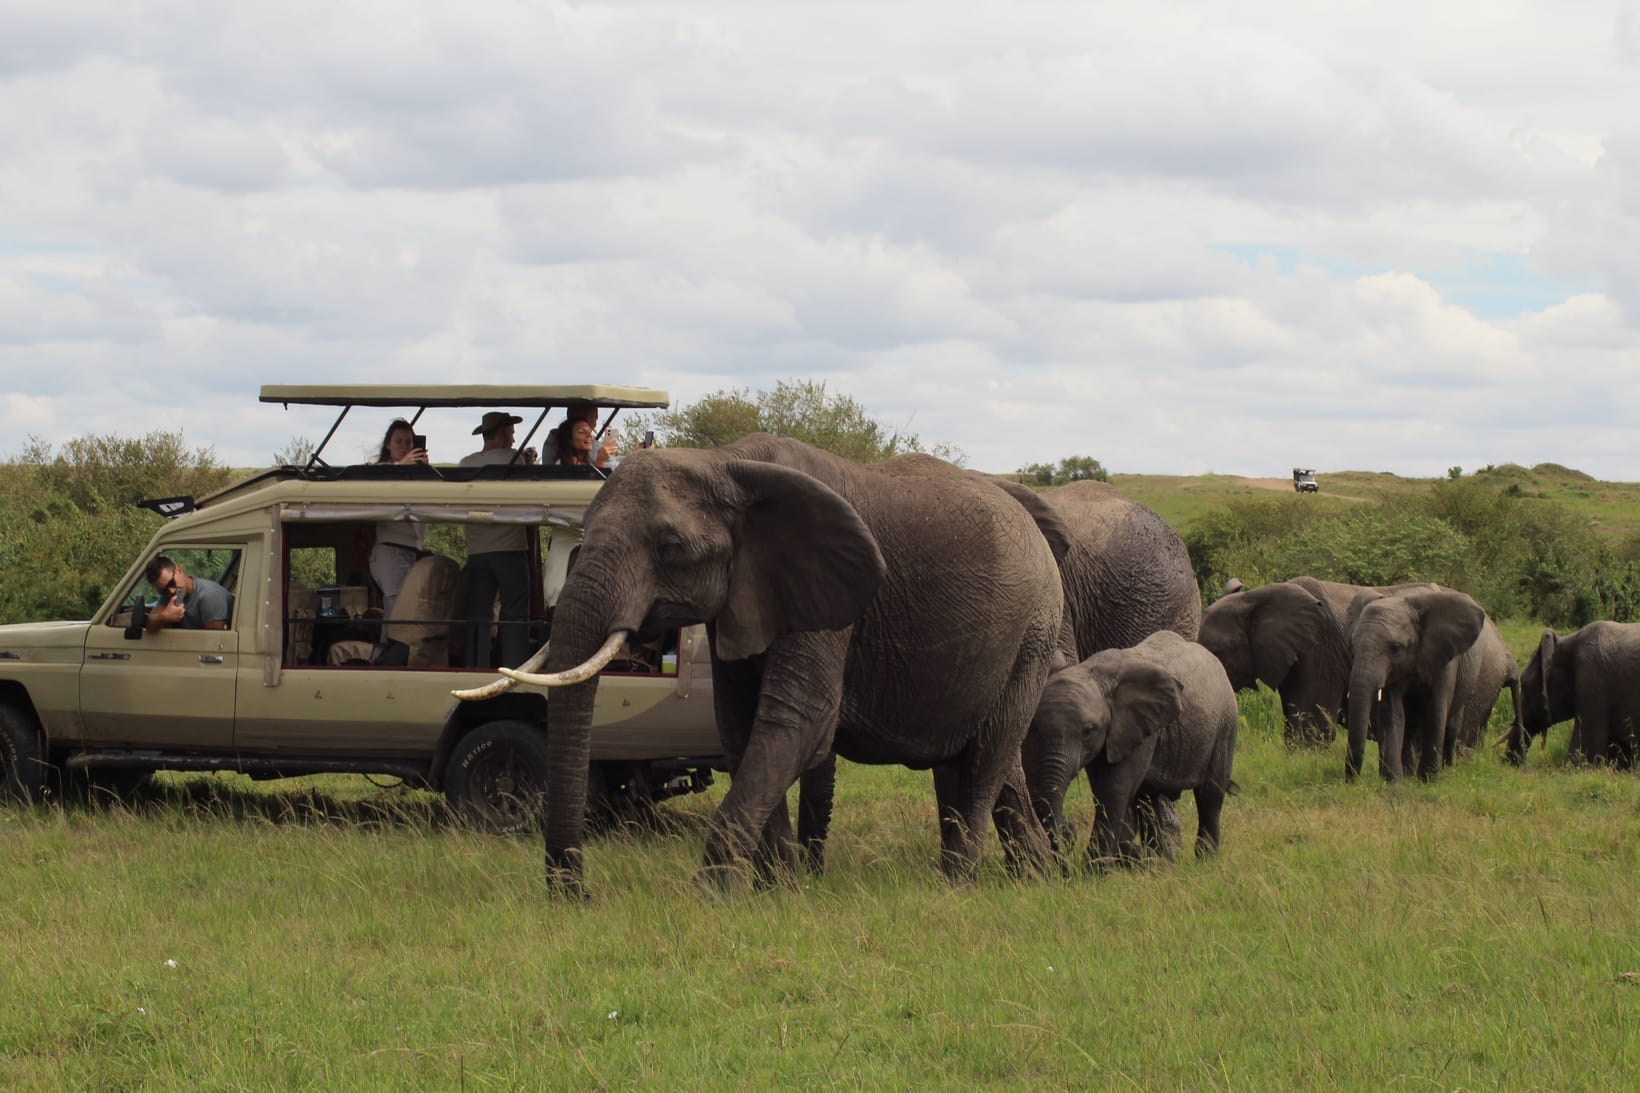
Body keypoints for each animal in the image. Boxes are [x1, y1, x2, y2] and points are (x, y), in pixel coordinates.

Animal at [464, 434, 1065, 895]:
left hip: (1033, 631)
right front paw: (779, 892)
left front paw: (710, 898)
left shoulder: (827, 599)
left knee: (986, 757)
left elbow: (798, 723)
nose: (576, 895)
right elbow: (740, 726)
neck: (722, 461)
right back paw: (1035, 878)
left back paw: (957, 885)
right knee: (983, 758)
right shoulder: (746, 597)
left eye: (669, 547)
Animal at [1022, 630, 1238, 867]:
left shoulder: (1136, 729)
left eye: (1088, 731)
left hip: (1225, 725)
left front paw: (1096, 870)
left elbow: (1113, 789)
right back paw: (1161, 862)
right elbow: (1104, 789)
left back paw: (1204, 860)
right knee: (1148, 801)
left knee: (1210, 794)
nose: (1069, 828)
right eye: (1034, 728)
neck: (1095, 672)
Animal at [1344, 586, 1485, 782]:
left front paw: (1428, 780)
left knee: (1451, 723)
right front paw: (1394, 782)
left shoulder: (1444, 657)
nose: (1352, 781)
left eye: (1395, 647)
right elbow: (1392, 715)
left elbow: (1435, 711)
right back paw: (1408, 775)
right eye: (1352, 644)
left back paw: (1446, 770)